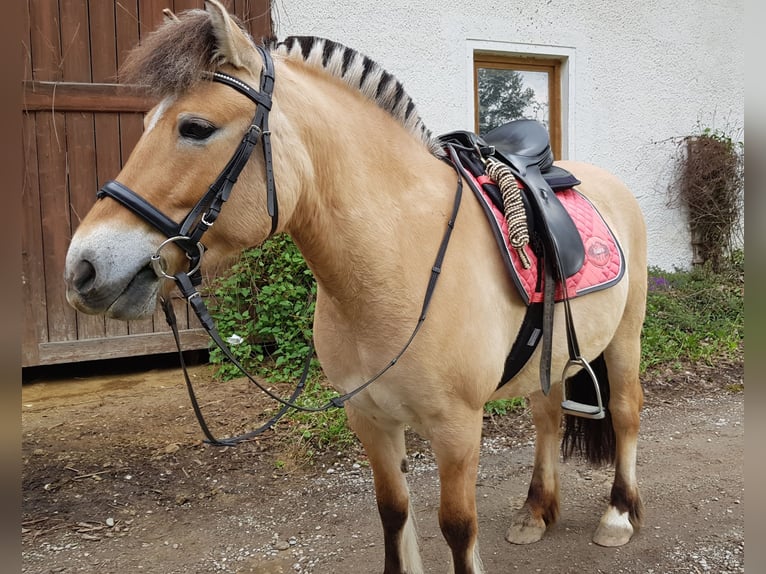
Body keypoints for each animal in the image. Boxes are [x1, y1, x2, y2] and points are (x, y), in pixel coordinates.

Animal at [64, 2, 648, 572]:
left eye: (195, 127)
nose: (83, 268)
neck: (399, 261)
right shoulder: (369, 419)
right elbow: (392, 513)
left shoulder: (457, 427)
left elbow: (458, 527)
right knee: (547, 414)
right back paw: (535, 512)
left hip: (625, 338)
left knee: (624, 412)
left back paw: (618, 516)